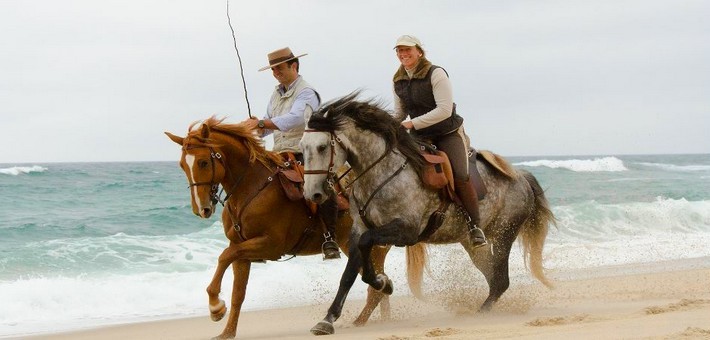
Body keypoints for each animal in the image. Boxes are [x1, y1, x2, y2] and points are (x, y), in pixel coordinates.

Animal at [165, 116, 422, 338]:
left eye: (203, 162)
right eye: (182, 165)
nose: (201, 209)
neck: (251, 188)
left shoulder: (270, 245)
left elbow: (224, 255)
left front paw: (215, 306)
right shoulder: (243, 251)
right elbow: (238, 291)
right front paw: (226, 331)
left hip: (367, 248)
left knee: (376, 288)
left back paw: (357, 322)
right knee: (379, 285)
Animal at [300, 92, 556, 334]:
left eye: (322, 146)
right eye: (302, 147)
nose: (312, 194)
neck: (380, 172)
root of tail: (522, 176)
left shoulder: (406, 230)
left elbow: (366, 246)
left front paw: (384, 283)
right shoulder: (358, 229)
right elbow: (350, 272)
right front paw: (328, 319)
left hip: (504, 233)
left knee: (501, 280)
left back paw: (480, 315)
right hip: (472, 244)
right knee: (494, 277)